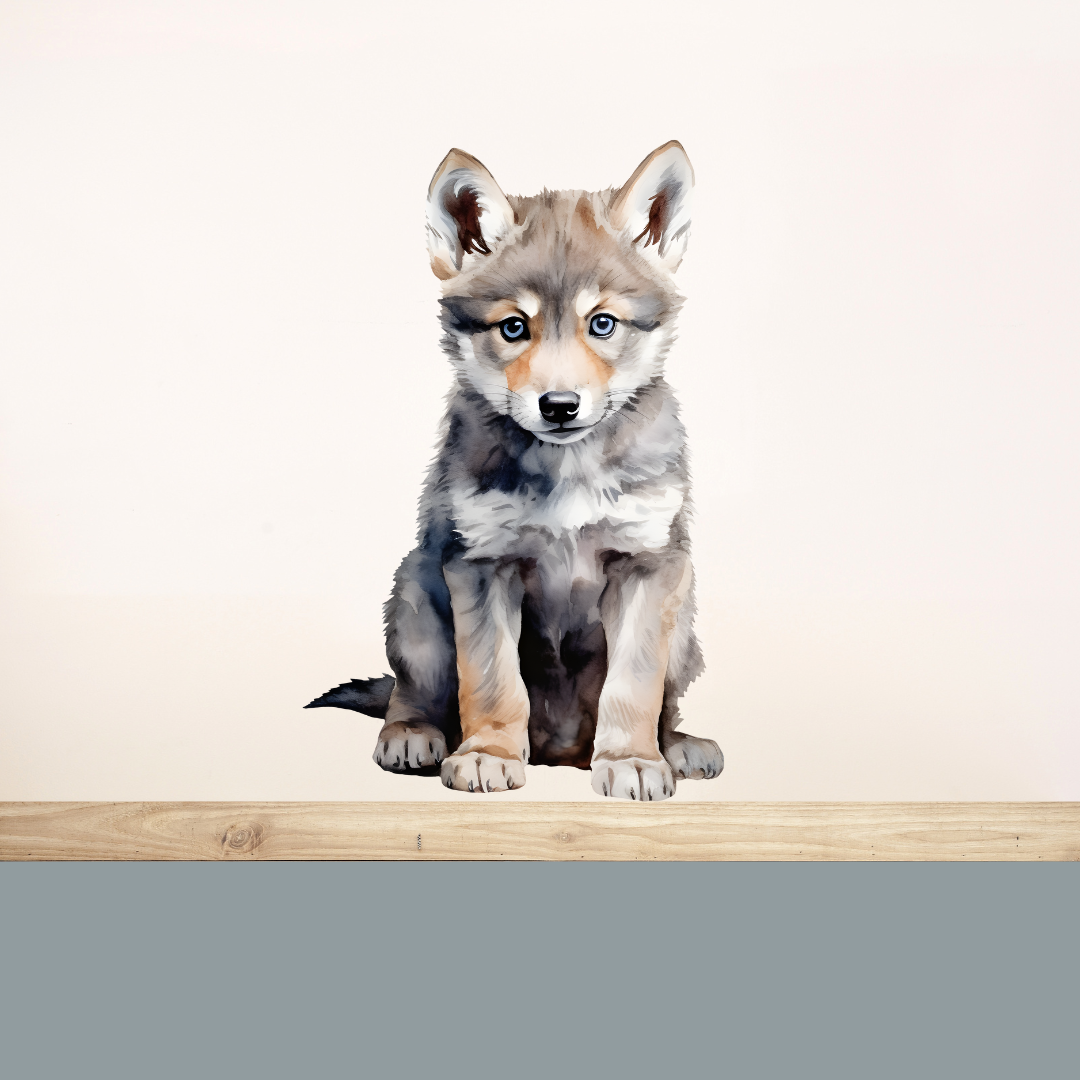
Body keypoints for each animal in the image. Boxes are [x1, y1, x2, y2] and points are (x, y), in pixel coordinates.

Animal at [307, 141, 723, 800]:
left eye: (602, 323)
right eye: (513, 327)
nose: (559, 406)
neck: (569, 469)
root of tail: (561, 751)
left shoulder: (649, 563)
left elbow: (633, 686)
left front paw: (632, 760)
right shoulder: (481, 565)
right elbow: (492, 681)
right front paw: (488, 754)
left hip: (684, 627)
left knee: (667, 703)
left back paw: (676, 747)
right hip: (415, 596)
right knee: (412, 690)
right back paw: (413, 734)